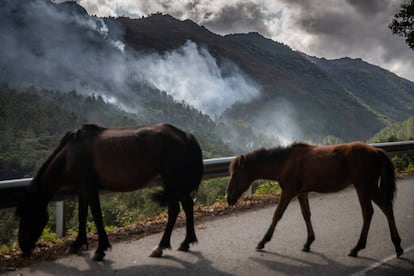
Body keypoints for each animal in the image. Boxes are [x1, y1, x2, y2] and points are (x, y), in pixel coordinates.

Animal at [15, 123, 203, 260]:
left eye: (27, 215)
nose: (23, 247)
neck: (70, 154)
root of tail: (185, 135)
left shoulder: (90, 187)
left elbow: (97, 216)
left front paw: (100, 249)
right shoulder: (82, 189)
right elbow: (82, 215)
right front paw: (77, 244)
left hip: (172, 181)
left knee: (174, 210)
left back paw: (160, 247)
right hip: (176, 184)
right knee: (187, 205)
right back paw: (186, 242)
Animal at [226, 141, 404, 258]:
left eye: (235, 174)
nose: (229, 198)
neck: (284, 162)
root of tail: (375, 150)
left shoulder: (289, 192)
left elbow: (277, 214)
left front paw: (263, 241)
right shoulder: (301, 192)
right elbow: (306, 215)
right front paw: (308, 242)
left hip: (363, 187)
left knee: (368, 213)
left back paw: (357, 247)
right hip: (370, 187)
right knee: (386, 208)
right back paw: (397, 245)